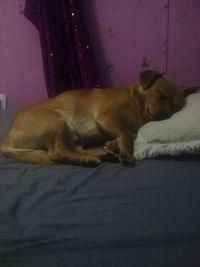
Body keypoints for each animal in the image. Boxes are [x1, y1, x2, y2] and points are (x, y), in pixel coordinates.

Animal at [0, 70, 191, 168]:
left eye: (175, 107)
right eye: (160, 94)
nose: (164, 114)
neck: (136, 103)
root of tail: (7, 137)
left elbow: (131, 134)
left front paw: (112, 145)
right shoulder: (108, 116)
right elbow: (125, 133)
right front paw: (125, 152)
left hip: (72, 135)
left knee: (74, 149)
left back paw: (101, 154)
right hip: (55, 121)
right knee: (57, 152)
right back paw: (89, 159)